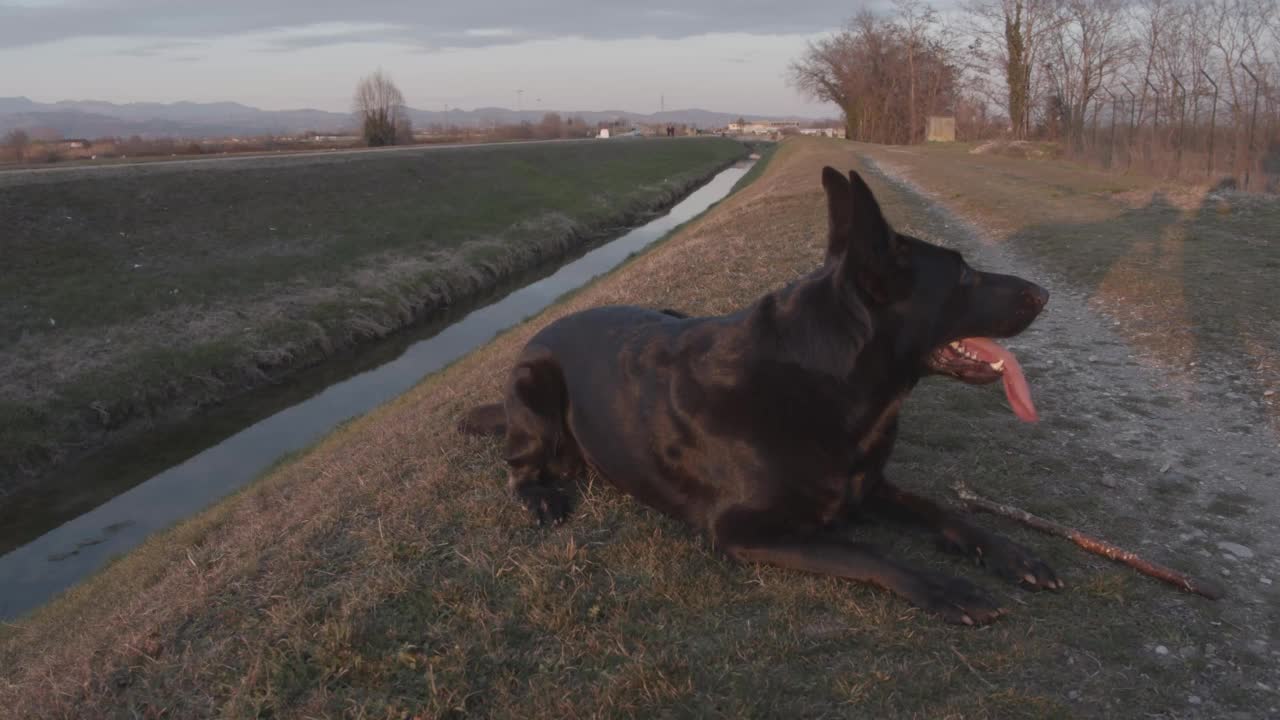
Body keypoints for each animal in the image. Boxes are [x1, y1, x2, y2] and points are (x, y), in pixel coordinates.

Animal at [465, 165, 1054, 620]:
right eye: (964, 277)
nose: (1043, 293)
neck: (829, 383)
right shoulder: (745, 531)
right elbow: (866, 552)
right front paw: (944, 587)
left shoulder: (868, 487)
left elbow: (939, 509)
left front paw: (1009, 552)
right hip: (535, 387)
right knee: (518, 466)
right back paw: (540, 495)